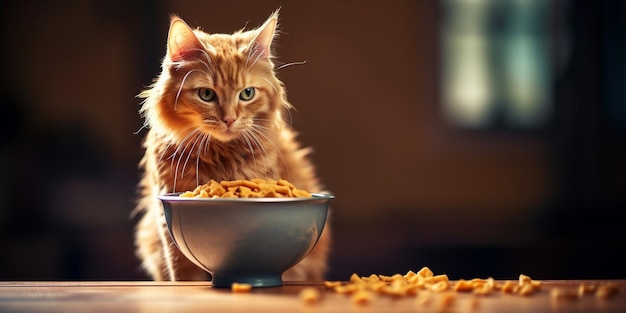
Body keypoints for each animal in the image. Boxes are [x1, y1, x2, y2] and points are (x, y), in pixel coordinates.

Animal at [131, 11, 326, 280]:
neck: (219, 155)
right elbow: (182, 273)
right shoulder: (166, 214)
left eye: (247, 94)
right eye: (206, 95)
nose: (229, 119)